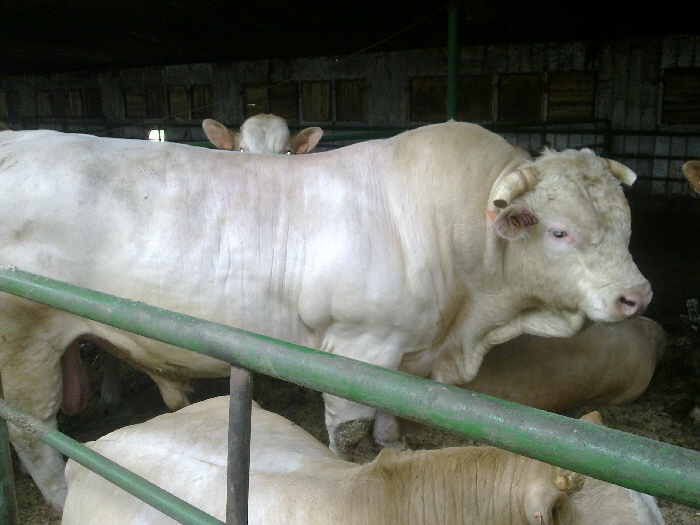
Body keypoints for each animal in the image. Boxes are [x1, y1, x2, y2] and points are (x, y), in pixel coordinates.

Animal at [0, 121, 651, 512]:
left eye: (625, 223)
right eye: (560, 230)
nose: (636, 296)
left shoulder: (400, 352)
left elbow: (390, 414)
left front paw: (397, 442)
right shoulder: (358, 348)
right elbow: (350, 434)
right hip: (25, 340)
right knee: (32, 432)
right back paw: (62, 497)